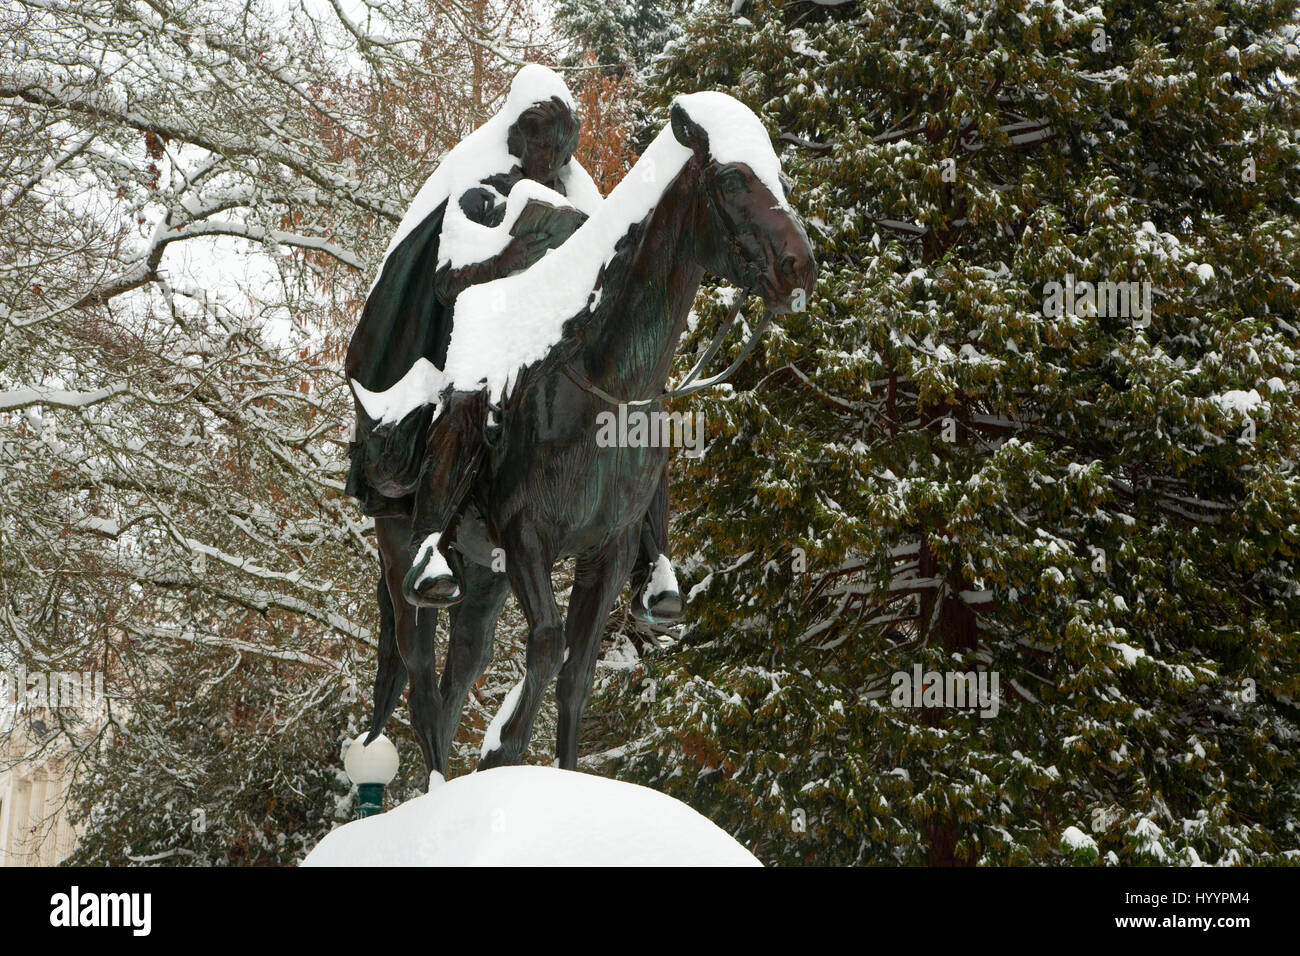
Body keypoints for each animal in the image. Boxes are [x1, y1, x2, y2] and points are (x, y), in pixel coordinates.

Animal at [366, 93, 811, 785]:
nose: (800, 268)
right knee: (421, 683)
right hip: (402, 547)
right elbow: (549, 646)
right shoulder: (529, 536)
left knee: (461, 670)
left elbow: (576, 673)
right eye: (733, 179)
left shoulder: (611, 548)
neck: (605, 382)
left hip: (484, 576)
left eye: (779, 178)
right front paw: (503, 753)